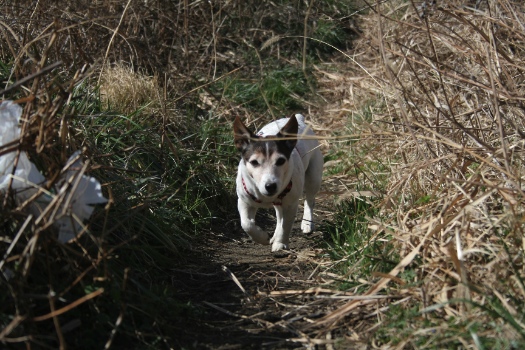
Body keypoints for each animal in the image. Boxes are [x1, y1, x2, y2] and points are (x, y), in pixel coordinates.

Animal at [234, 114, 324, 252]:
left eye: (280, 161)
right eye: (254, 162)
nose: (270, 186)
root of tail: (299, 118)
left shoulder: (291, 204)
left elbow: (286, 225)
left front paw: (280, 243)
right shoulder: (245, 201)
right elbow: (246, 224)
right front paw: (262, 237)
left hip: (313, 177)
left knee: (309, 200)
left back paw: (307, 223)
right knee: (279, 214)